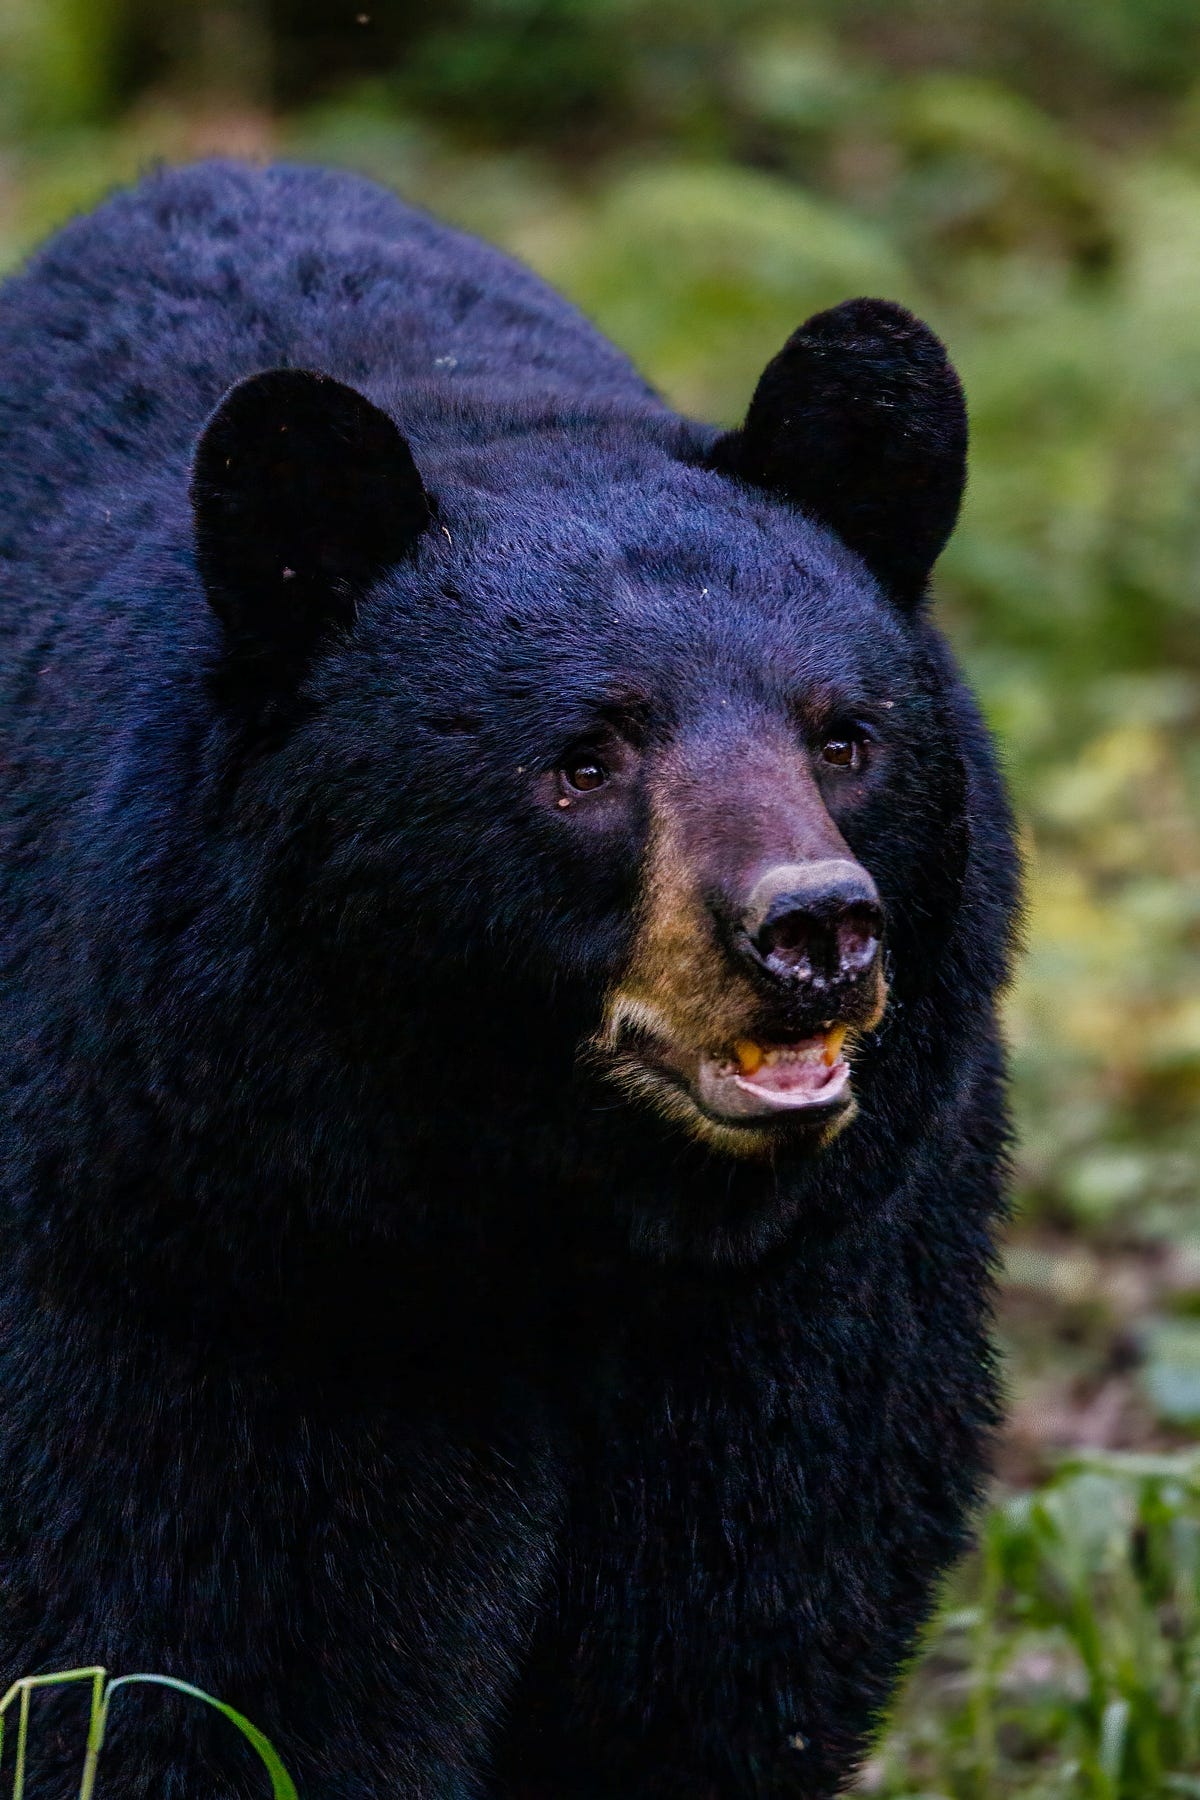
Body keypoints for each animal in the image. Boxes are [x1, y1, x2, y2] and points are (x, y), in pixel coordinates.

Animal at [0, 160, 1019, 1798]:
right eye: (584, 761)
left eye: (843, 737)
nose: (814, 932)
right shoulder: (184, 1246)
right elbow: (197, 1639)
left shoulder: (816, 1282)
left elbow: (731, 1635)